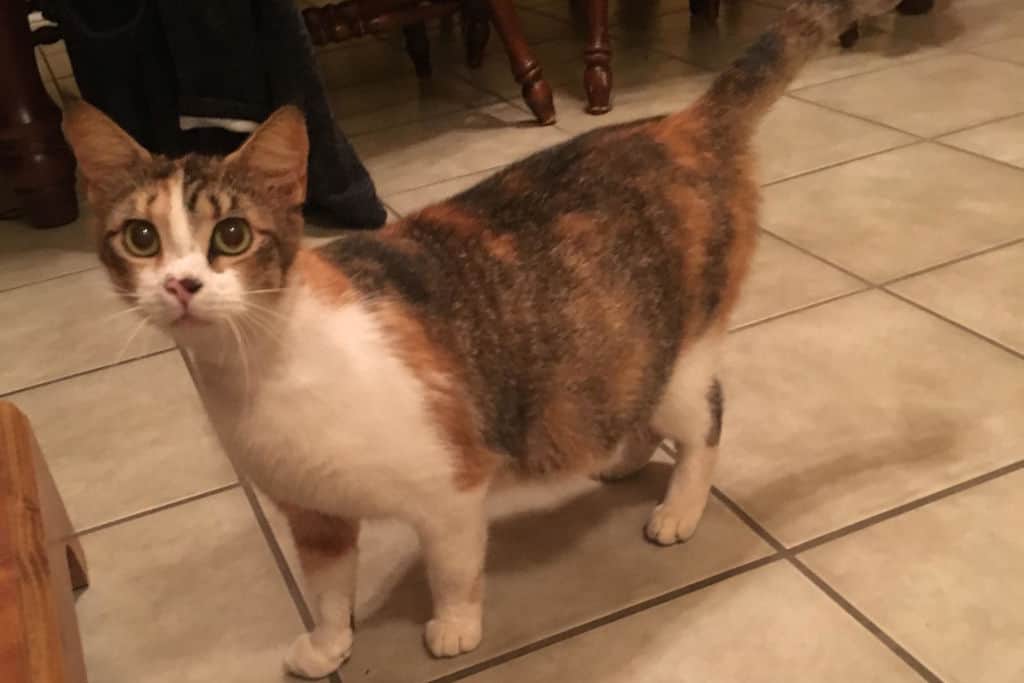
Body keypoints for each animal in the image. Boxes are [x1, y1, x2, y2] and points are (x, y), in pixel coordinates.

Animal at [64, 0, 897, 671]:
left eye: (231, 235)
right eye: (141, 237)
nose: (182, 285)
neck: (261, 367)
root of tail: (679, 124)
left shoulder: (452, 489)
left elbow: (454, 568)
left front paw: (455, 626)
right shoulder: (312, 513)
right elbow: (327, 588)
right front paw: (331, 645)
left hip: (679, 358)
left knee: (708, 418)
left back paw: (680, 507)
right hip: (615, 358)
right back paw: (623, 458)